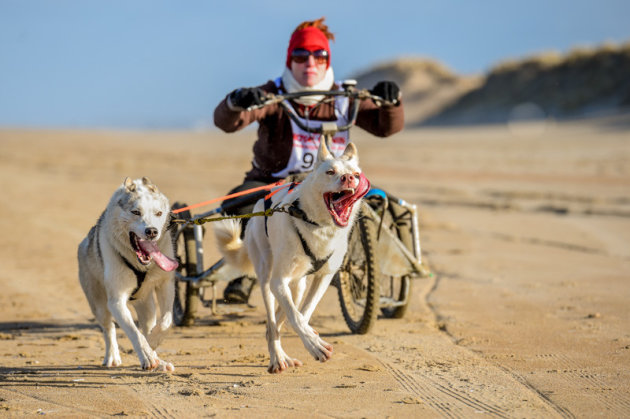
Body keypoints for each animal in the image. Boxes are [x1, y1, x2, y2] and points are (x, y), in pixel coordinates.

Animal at [78, 176, 179, 370]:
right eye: (136, 212)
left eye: (158, 213)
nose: (152, 231)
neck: (141, 266)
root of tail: (84, 242)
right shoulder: (116, 301)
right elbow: (133, 332)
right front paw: (146, 356)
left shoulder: (166, 285)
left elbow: (166, 321)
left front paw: (153, 344)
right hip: (99, 304)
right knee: (108, 329)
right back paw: (112, 357)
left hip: (147, 306)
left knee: (148, 324)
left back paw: (159, 360)